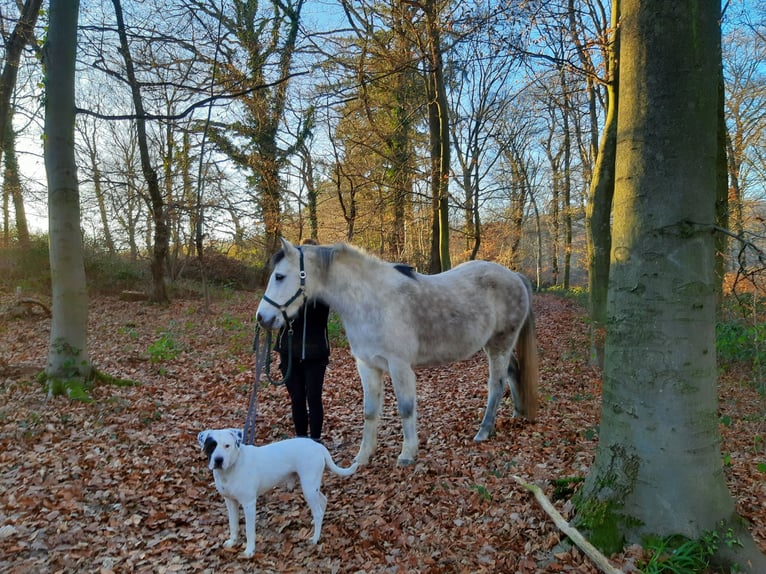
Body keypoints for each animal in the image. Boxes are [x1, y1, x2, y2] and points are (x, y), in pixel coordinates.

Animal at [256, 238, 539, 466]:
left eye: (279, 276)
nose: (263, 318)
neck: (372, 301)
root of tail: (515, 276)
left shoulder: (399, 366)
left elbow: (405, 408)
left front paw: (407, 454)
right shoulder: (367, 365)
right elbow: (370, 411)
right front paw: (363, 456)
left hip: (499, 345)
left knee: (496, 385)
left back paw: (484, 431)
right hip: (497, 345)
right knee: (513, 373)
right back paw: (517, 413)